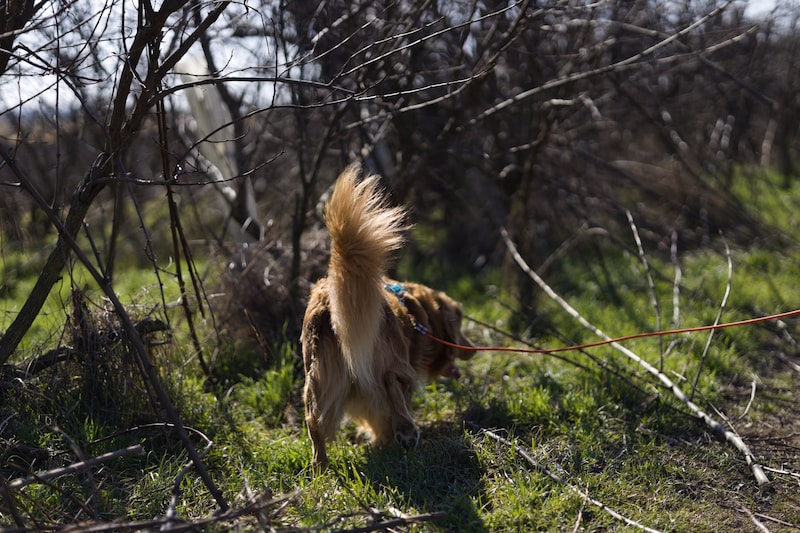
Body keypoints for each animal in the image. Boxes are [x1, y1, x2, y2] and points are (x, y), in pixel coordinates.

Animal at [300, 164, 476, 468]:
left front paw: (382, 441)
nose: (473, 349)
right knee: (393, 379)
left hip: (317, 381)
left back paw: (320, 467)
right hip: (391, 358)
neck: (415, 310)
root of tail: (328, 302)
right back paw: (407, 432)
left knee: (315, 423)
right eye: (461, 325)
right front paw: (390, 439)